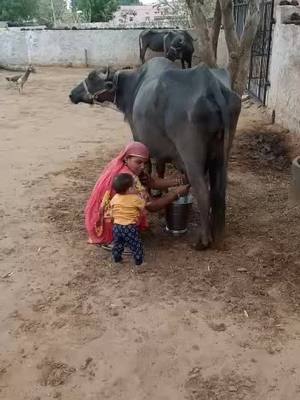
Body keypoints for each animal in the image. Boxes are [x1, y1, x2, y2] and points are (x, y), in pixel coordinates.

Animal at [69, 58, 241, 250]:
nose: (72, 94)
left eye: (92, 78)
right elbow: (160, 168)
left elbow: (148, 166)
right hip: (222, 153)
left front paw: (152, 191)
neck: (133, 85)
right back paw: (218, 235)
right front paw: (162, 190)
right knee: (218, 190)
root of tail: (211, 84)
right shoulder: (162, 148)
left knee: (203, 190)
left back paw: (202, 240)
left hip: (191, 155)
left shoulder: (140, 138)